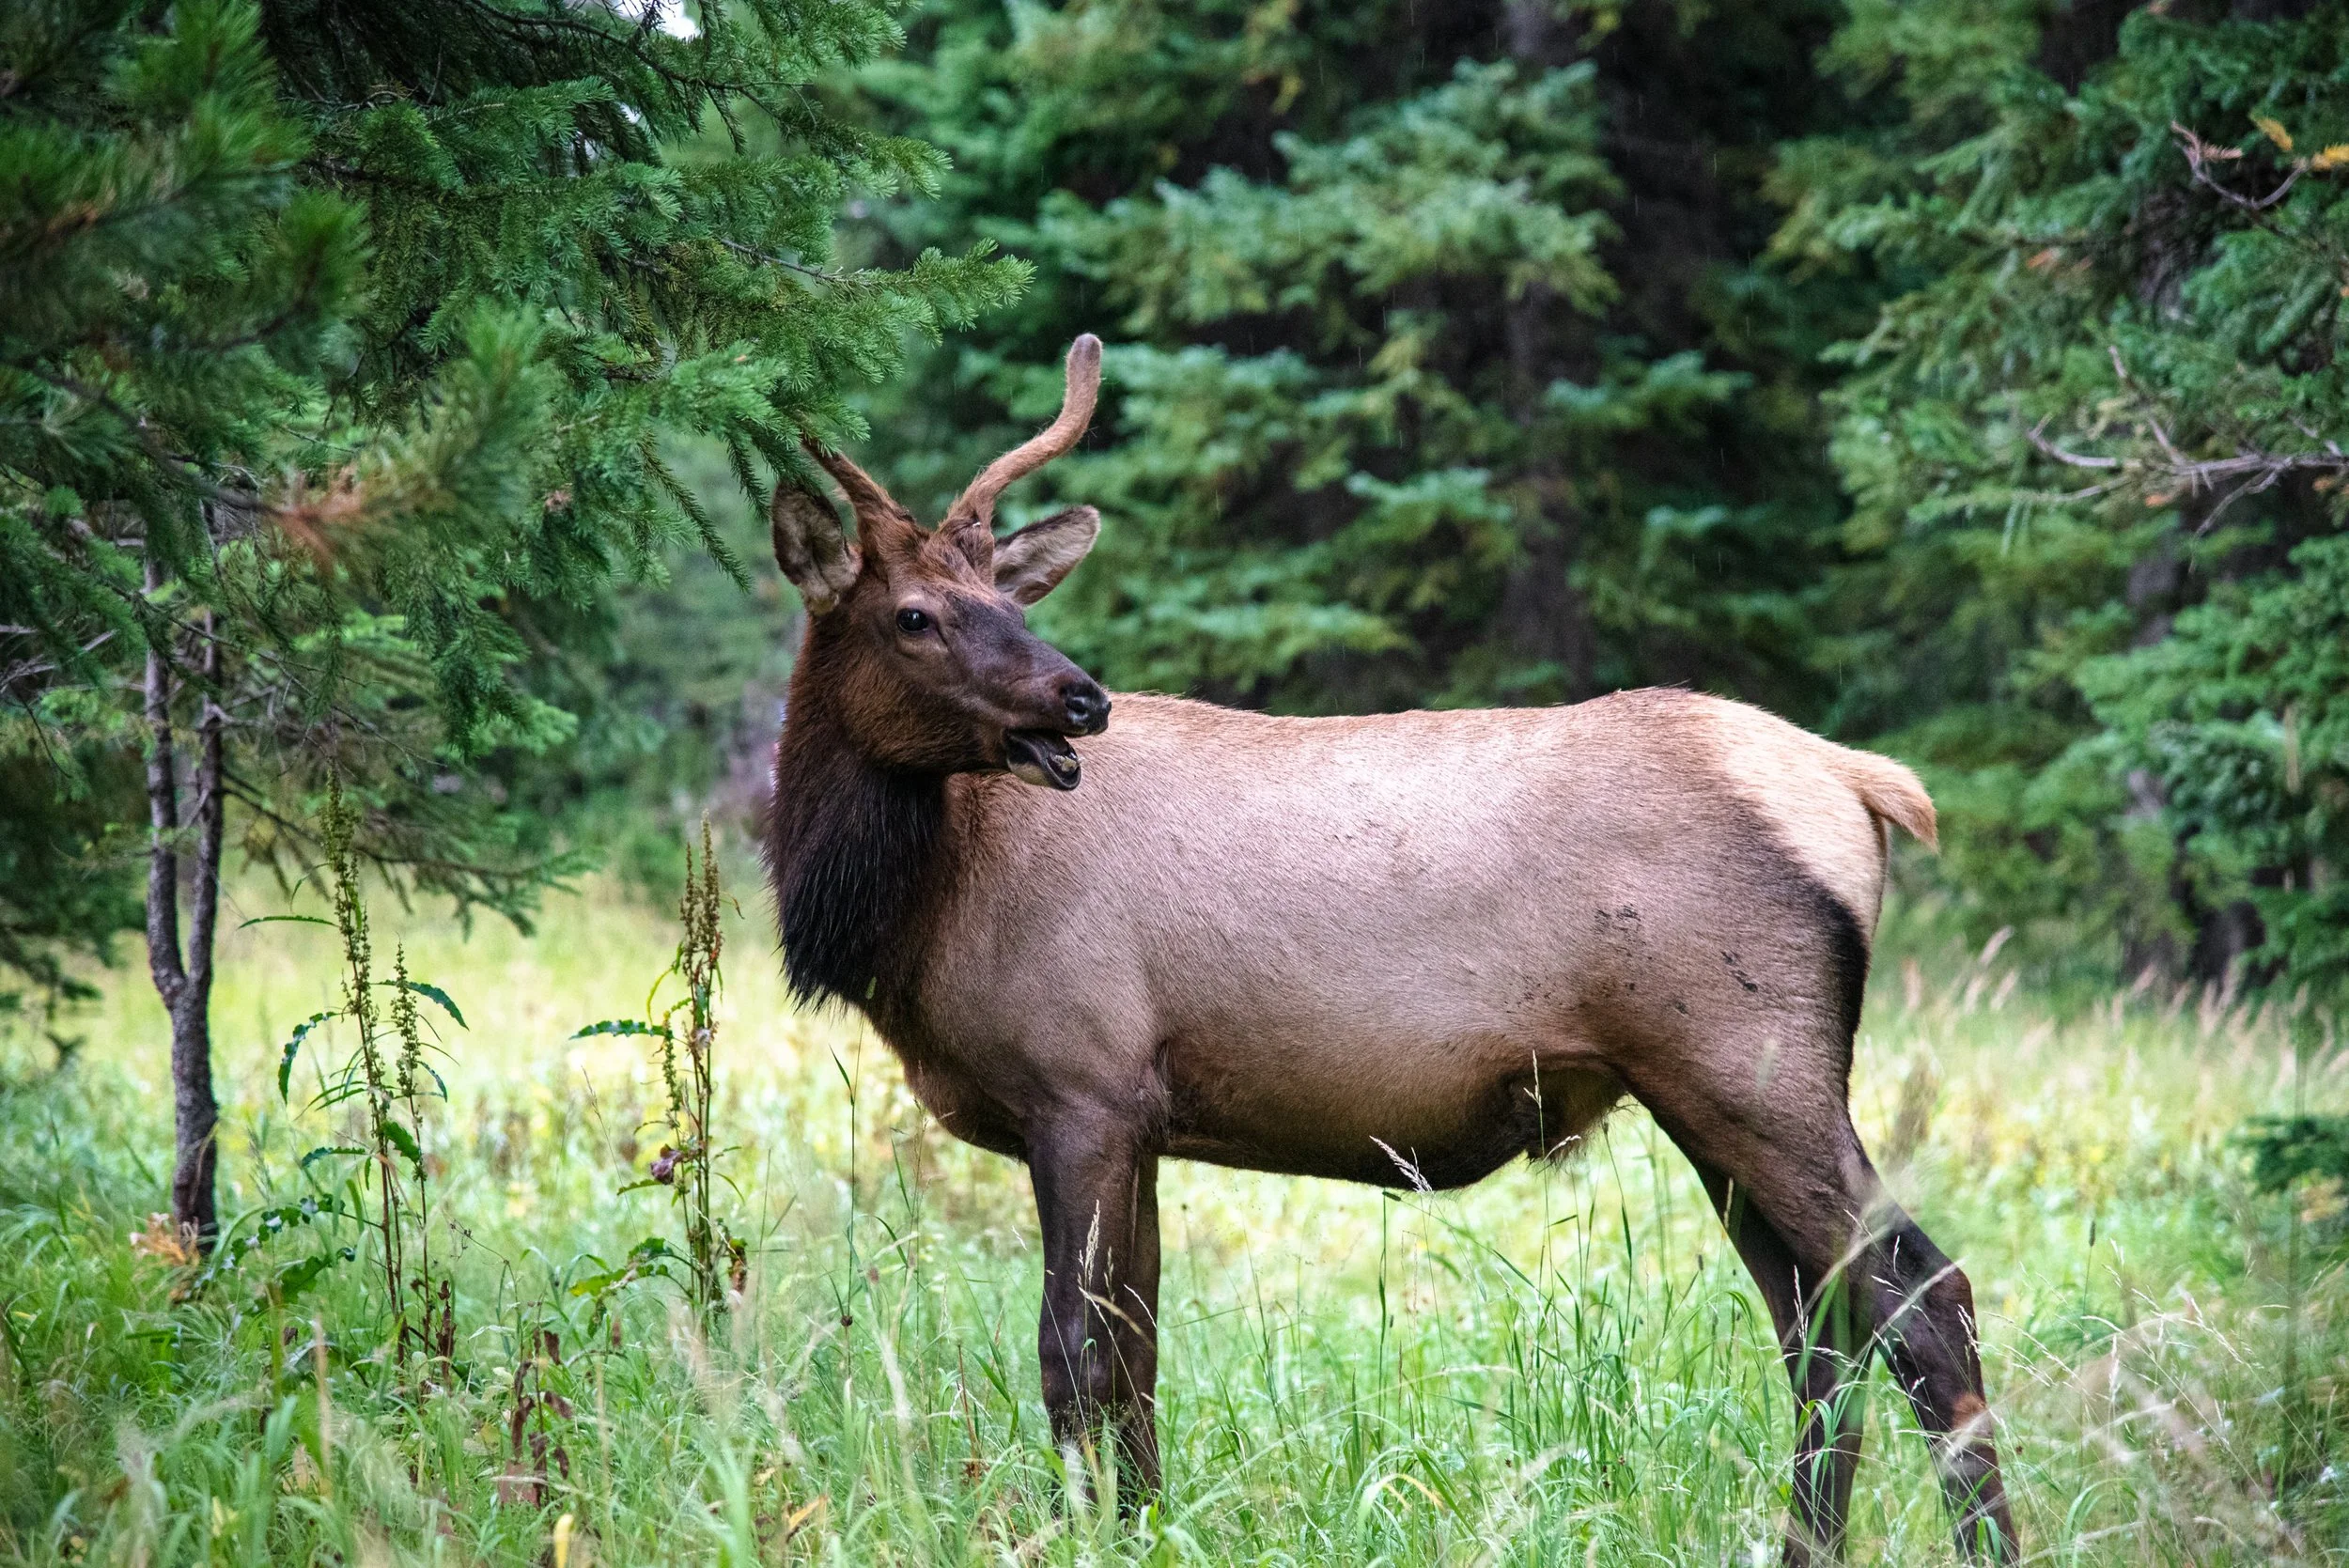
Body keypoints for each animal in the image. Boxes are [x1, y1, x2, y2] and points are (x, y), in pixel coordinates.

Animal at [763, 334, 2018, 1564]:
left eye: (1003, 601)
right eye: (913, 614)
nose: (1080, 698)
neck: (914, 916)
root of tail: (1862, 784)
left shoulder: (1078, 1087)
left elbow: (1071, 1351)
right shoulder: (1140, 1117)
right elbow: (1139, 1353)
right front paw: (1146, 1523)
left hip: (1749, 1065)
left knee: (1924, 1299)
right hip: (1710, 1091)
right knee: (1819, 1326)